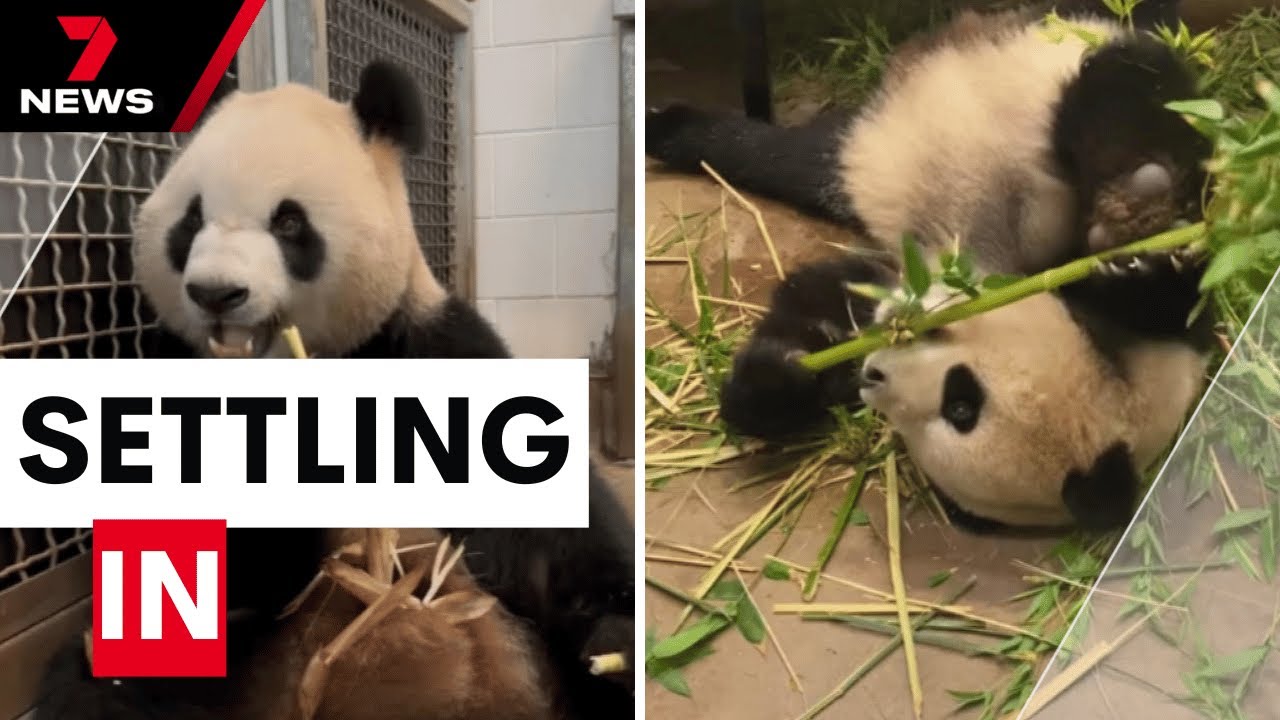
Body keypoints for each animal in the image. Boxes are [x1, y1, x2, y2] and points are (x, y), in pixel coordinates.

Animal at [33, 61, 634, 720]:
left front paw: (612, 639)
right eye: (191, 220)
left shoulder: (420, 345)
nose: (216, 293)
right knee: (105, 682)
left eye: (288, 222)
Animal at [645, 2, 1218, 533]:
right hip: (1031, 74)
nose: (874, 373)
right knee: (1124, 87)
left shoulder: (899, 281)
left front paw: (794, 368)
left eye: (954, 413)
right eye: (962, 401)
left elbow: (828, 295)